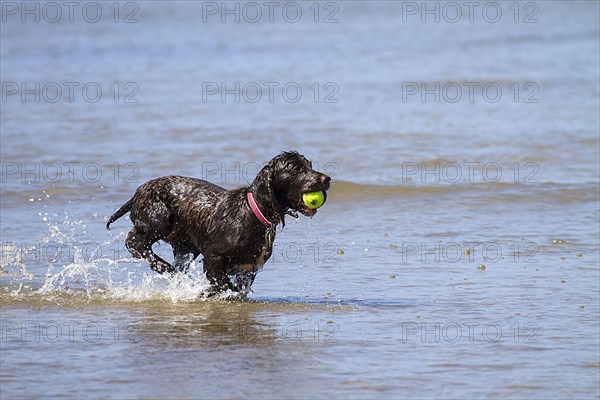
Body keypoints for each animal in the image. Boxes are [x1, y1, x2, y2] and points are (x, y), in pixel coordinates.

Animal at [105, 152, 330, 296]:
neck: (253, 213)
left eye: (309, 165)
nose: (327, 179)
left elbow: (237, 290)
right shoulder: (213, 256)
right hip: (160, 221)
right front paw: (206, 292)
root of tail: (137, 192)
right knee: (134, 242)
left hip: (186, 245)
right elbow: (224, 285)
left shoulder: (248, 269)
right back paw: (164, 267)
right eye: (294, 168)